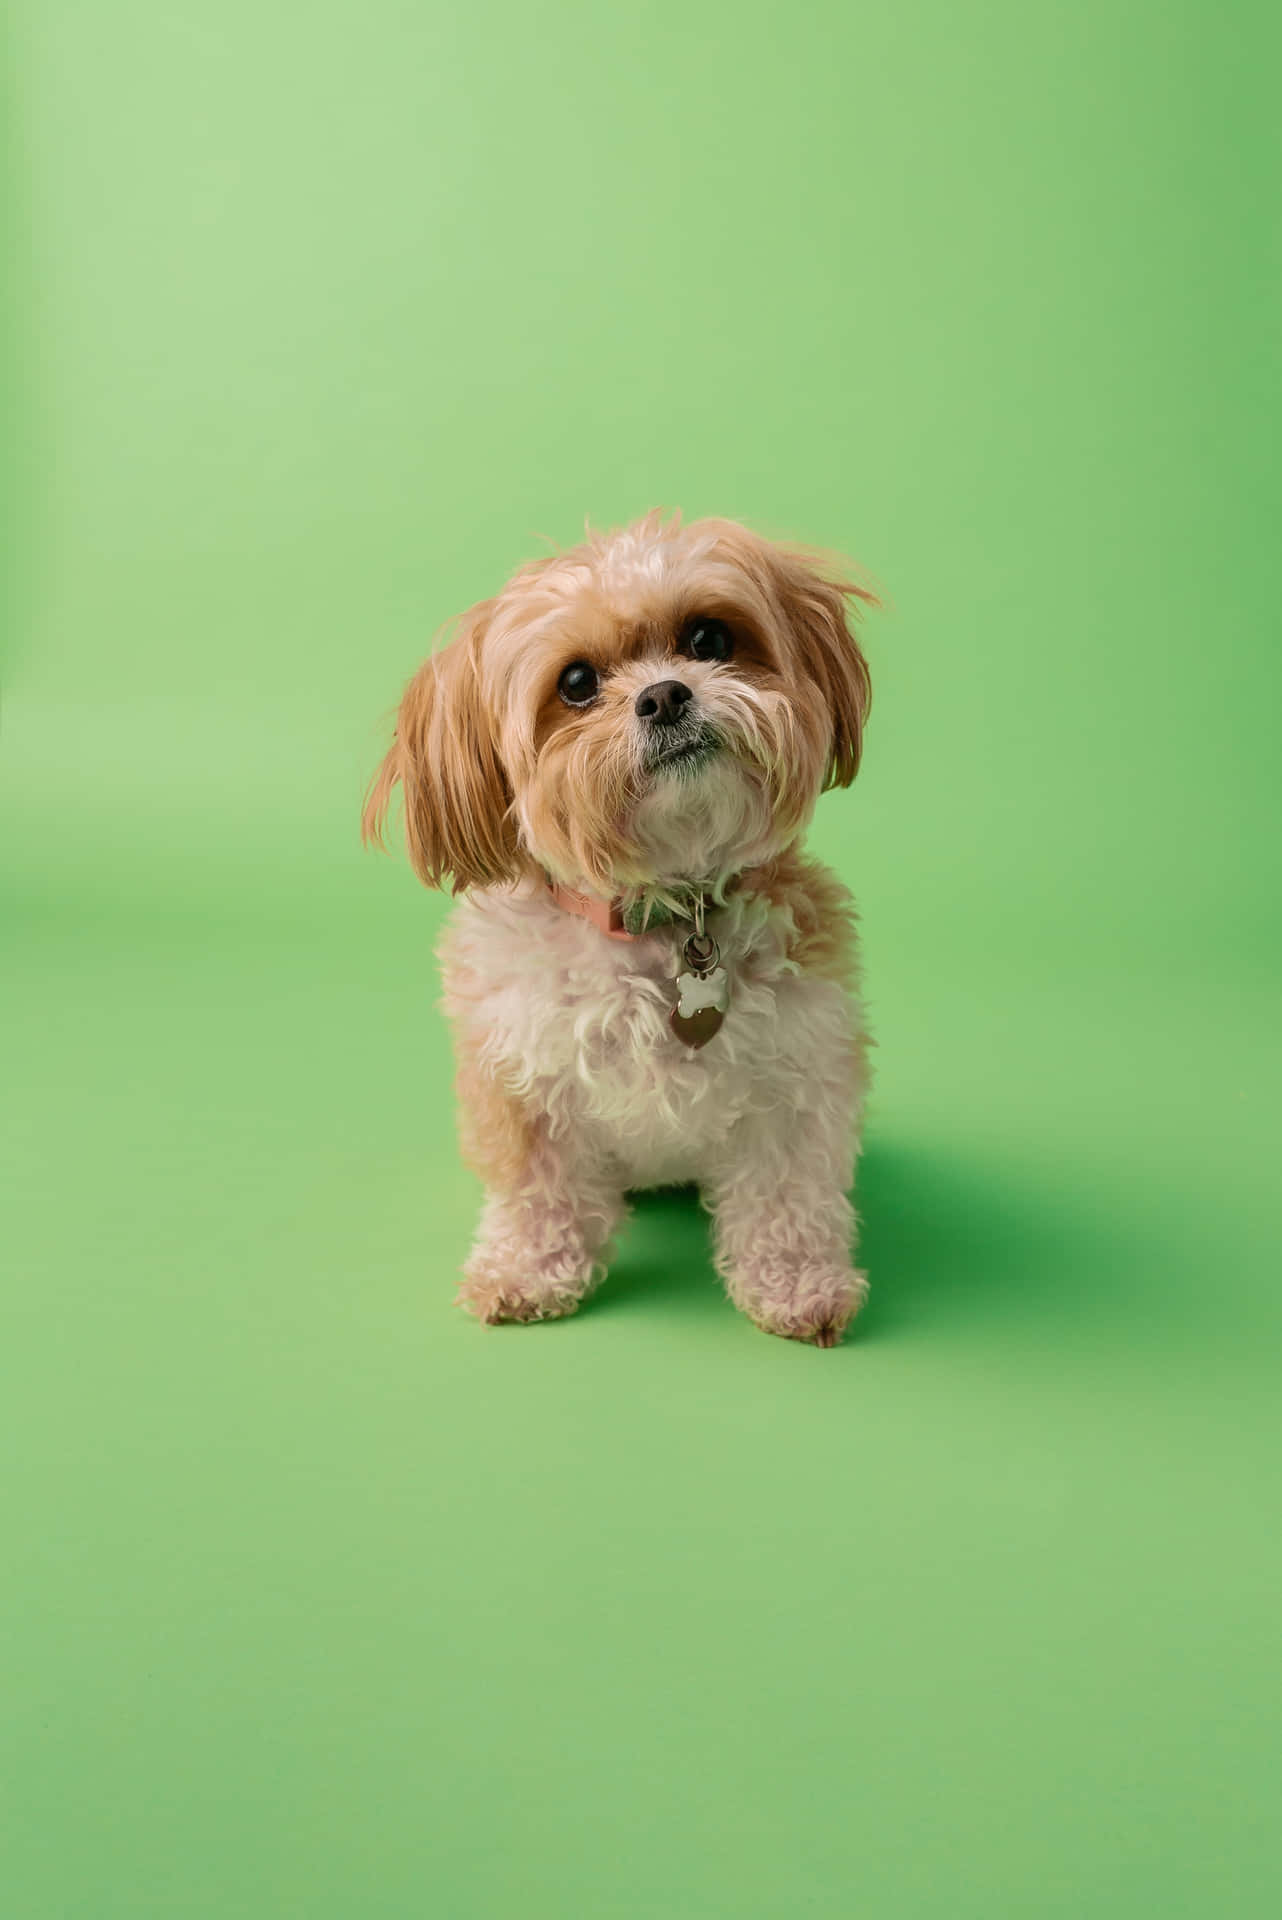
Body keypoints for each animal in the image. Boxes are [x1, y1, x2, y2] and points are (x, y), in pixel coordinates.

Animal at [364, 510, 875, 1351]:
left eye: (708, 638)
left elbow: (786, 1199)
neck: (662, 913)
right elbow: (539, 1195)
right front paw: (527, 1271)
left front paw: (798, 1284)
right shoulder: (523, 1083)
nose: (665, 695)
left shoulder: (795, 1081)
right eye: (576, 685)